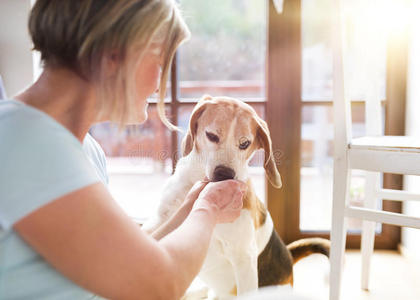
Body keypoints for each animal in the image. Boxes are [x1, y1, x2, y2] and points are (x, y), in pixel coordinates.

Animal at [143, 95, 330, 298]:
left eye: (245, 144)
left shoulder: (243, 258)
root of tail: (288, 258)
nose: (224, 174)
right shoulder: (158, 222)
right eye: (212, 136)